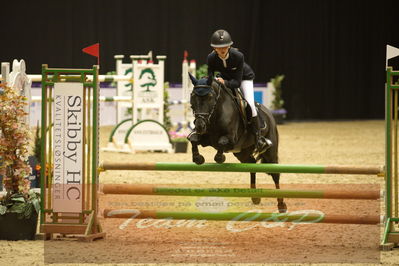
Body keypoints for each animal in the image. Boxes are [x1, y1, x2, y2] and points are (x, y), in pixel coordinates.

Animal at [188, 74, 286, 212]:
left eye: (210, 97)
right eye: (192, 96)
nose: (200, 126)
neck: (216, 112)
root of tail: (269, 114)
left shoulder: (232, 139)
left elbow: (222, 142)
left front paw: (220, 158)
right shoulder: (206, 139)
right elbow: (193, 140)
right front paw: (198, 158)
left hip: (270, 151)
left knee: (275, 174)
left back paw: (281, 205)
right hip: (242, 153)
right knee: (252, 164)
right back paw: (255, 197)